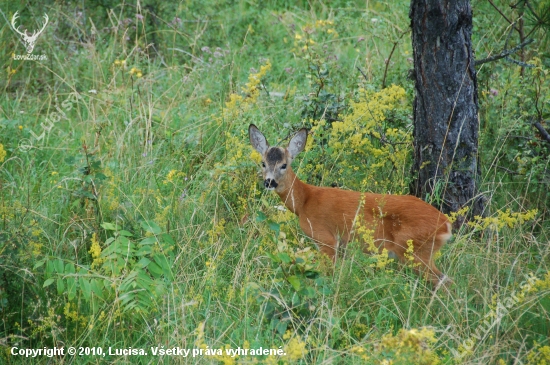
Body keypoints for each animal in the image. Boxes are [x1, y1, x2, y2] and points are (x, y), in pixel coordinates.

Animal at [250, 123, 452, 286]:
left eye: (284, 165)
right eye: (263, 163)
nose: (269, 182)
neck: (305, 202)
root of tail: (446, 224)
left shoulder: (326, 239)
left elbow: (326, 275)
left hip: (415, 251)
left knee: (444, 282)